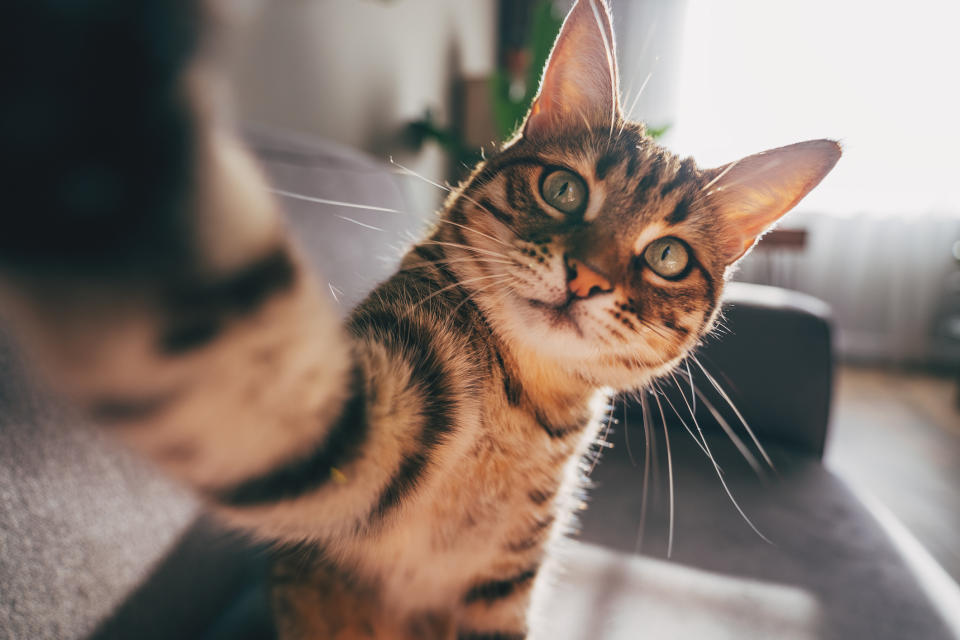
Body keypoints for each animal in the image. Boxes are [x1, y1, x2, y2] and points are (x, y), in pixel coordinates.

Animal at [0, 1, 836, 640]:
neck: (525, 408)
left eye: (667, 256)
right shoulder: (362, 428)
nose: (588, 278)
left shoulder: (501, 586)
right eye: (565, 188)